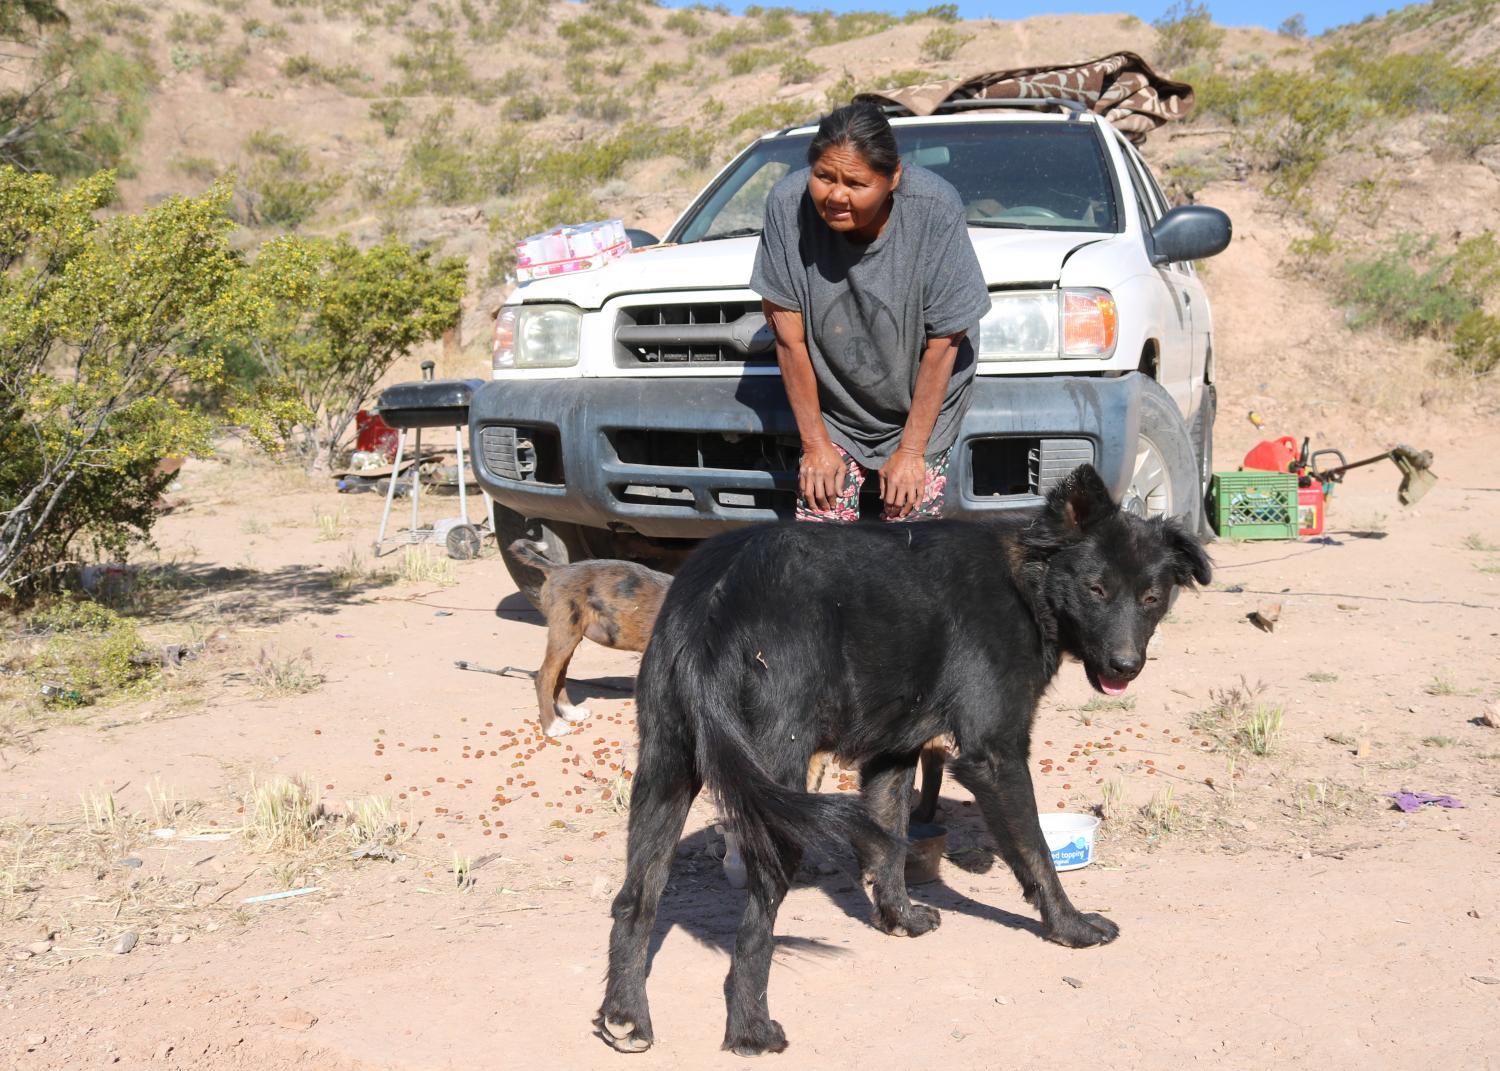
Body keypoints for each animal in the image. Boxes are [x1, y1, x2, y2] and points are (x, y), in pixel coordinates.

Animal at [504, 543, 669, 735]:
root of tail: (558, 569)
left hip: (570, 638)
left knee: (560, 676)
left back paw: (569, 712)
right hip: (564, 634)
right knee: (544, 677)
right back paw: (552, 726)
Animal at [594, 462, 1206, 1056]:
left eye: (1151, 599)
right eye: (1096, 589)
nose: (1126, 667)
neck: (1028, 580)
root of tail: (716, 594)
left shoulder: (892, 754)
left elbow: (889, 841)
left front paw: (900, 920)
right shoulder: (994, 755)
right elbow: (1034, 854)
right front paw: (1070, 927)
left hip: (665, 770)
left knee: (633, 900)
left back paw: (627, 1017)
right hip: (776, 788)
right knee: (752, 929)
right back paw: (751, 1031)